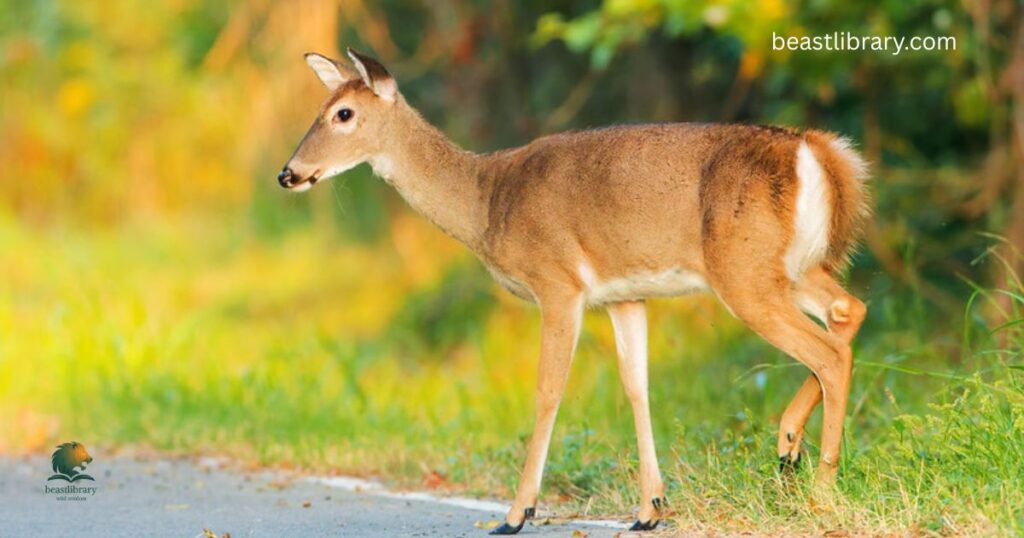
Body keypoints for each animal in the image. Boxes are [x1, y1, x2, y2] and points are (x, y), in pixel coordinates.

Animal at [279, 49, 870, 534]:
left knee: (827, 350)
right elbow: (637, 386)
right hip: (790, 267)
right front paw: (649, 510)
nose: (288, 174)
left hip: (744, 270)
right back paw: (789, 447)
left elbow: (548, 388)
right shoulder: (622, 295)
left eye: (343, 113)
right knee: (849, 310)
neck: (486, 201)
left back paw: (819, 491)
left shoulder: (557, 282)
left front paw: (517, 513)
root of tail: (817, 151)